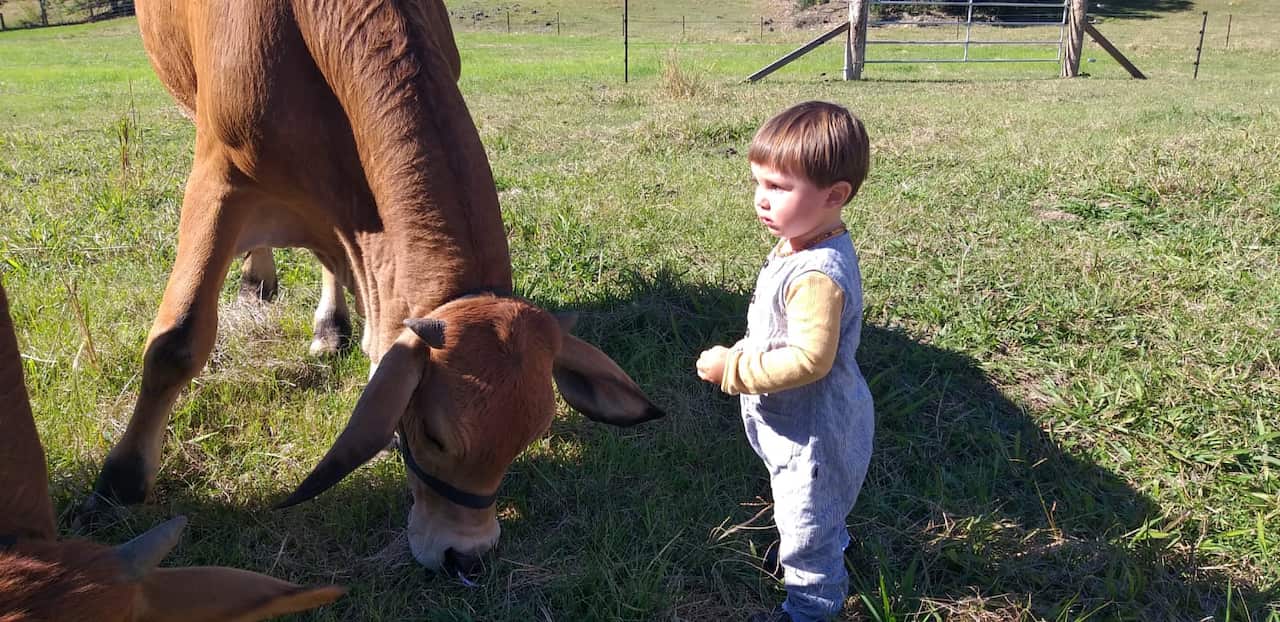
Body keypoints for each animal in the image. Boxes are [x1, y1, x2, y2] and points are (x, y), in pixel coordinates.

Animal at [82, 0, 664, 574]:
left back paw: (330, 327)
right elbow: (176, 342)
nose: (466, 555)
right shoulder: (219, 176)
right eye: (432, 435)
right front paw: (120, 481)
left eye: (528, 440)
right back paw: (258, 279)